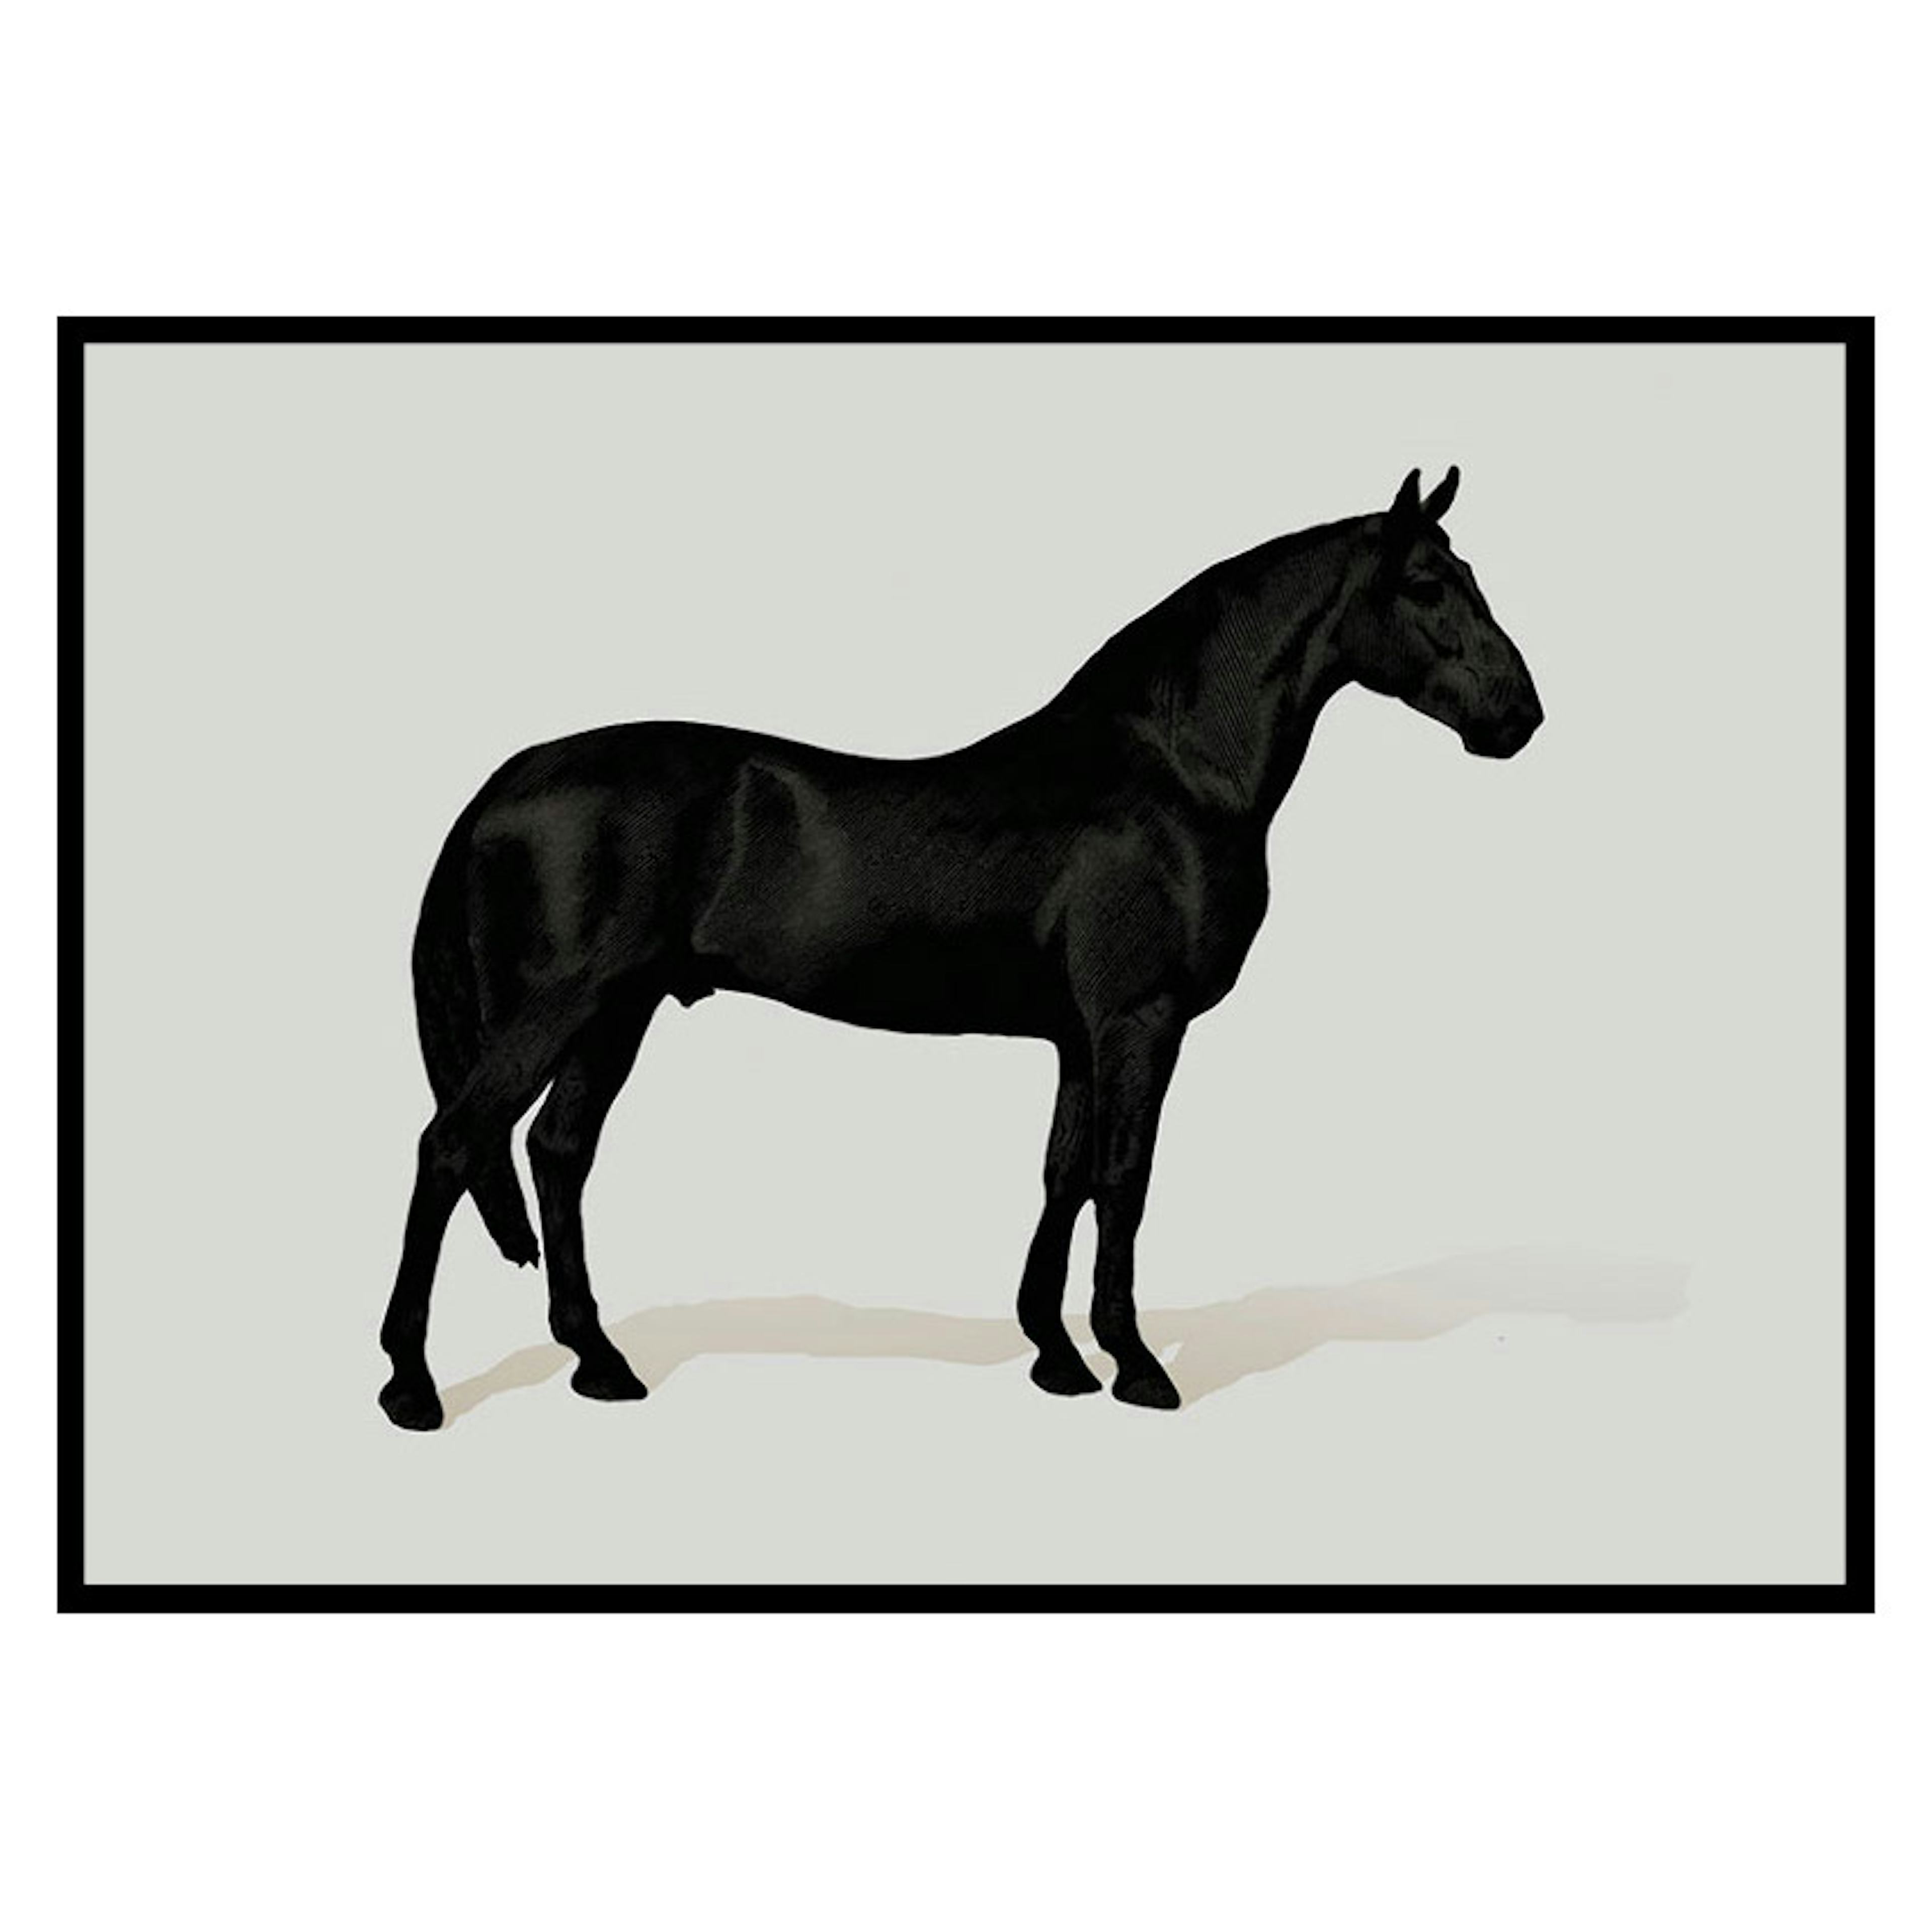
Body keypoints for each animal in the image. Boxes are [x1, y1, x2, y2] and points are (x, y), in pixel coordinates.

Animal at [378, 466, 1543, 1430]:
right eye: (1429, 583)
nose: (1519, 715)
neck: (1171, 773)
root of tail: (506, 781)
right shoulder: (1140, 1021)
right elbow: (1125, 1177)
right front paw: (1136, 1367)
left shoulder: (1079, 1035)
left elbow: (1064, 1176)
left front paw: (1057, 1358)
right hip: (560, 1009)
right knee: (452, 1146)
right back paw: (412, 1387)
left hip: (615, 1014)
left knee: (556, 1154)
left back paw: (601, 1362)